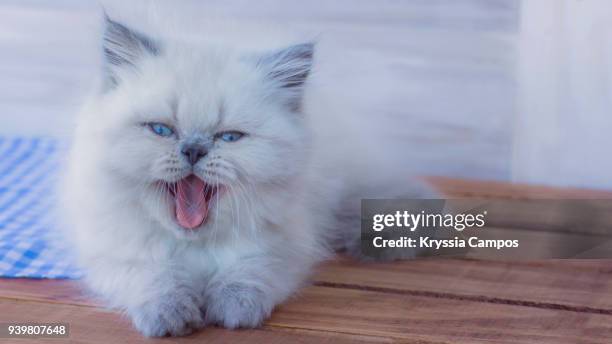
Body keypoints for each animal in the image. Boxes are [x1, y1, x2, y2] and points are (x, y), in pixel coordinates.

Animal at [61, 14, 436, 336]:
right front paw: (171, 316)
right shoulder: (117, 252)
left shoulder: (281, 247)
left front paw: (233, 309)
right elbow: (154, 277)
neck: (195, 246)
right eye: (161, 130)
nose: (194, 150)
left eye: (229, 137)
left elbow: (247, 271)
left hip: (354, 182)